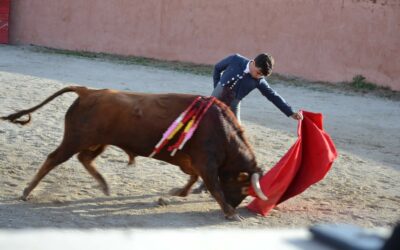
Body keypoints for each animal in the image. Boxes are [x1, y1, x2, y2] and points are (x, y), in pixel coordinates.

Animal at [3, 86, 268, 221]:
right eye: (245, 188)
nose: (235, 205)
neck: (223, 129)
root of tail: (88, 91)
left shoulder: (192, 161)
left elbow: (193, 179)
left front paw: (174, 193)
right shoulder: (206, 163)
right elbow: (213, 186)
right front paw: (231, 213)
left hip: (97, 141)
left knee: (85, 158)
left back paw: (104, 185)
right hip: (75, 139)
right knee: (53, 159)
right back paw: (26, 192)